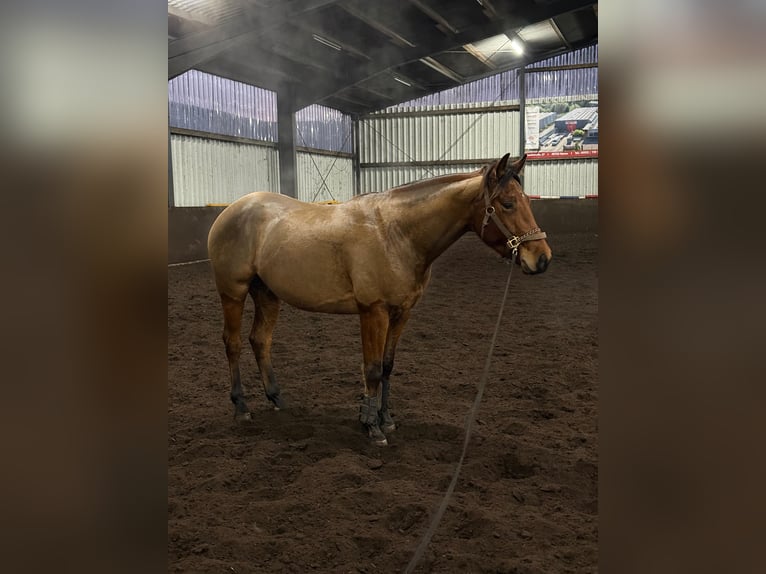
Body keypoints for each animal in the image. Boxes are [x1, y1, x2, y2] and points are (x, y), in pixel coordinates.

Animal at [207, 153, 551, 445]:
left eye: (525, 201)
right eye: (507, 204)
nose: (542, 259)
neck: (396, 234)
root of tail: (231, 210)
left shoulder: (402, 313)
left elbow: (386, 366)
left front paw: (385, 420)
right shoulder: (374, 311)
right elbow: (371, 368)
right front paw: (371, 427)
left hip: (267, 294)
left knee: (260, 340)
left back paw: (277, 398)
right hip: (233, 292)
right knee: (233, 343)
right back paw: (241, 407)